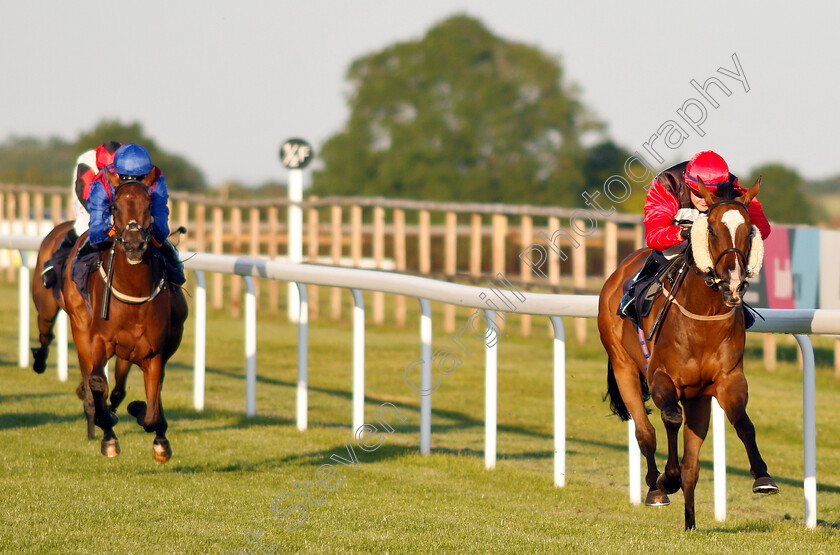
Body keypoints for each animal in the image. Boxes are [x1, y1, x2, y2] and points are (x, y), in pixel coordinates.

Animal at [31, 177, 187, 460]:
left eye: (149, 204)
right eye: (115, 206)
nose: (135, 245)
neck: (133, 296)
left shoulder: (152, 353)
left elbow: (151, 410)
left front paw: (152, 429)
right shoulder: (97, 341)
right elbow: (97, 383)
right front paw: (107, 433)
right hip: (56, 310)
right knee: (48, 333)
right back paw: (41, 362)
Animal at [596, 178, 780, 528]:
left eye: (748, 230)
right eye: (712, 230)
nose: (733, 284)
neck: (702, 317)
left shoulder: (728, 380)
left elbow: (742, 423)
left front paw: (763, 476)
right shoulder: (660, 377)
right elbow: (669, 418)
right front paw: (667, 478)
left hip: (698, 398)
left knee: (693, 466)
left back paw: (690, 523)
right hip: (624, 366)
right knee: (645, 431)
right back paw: (656, 488)